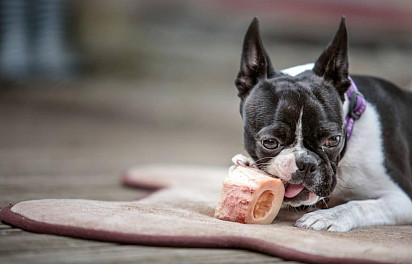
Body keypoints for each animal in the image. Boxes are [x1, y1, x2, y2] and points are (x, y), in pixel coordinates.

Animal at [232, 17, 412, 231]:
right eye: (270, 142)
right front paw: (246, 162)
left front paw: (328, 217)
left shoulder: (403, 199)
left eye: (333, 140)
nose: (306, 163)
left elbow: (360, 205)